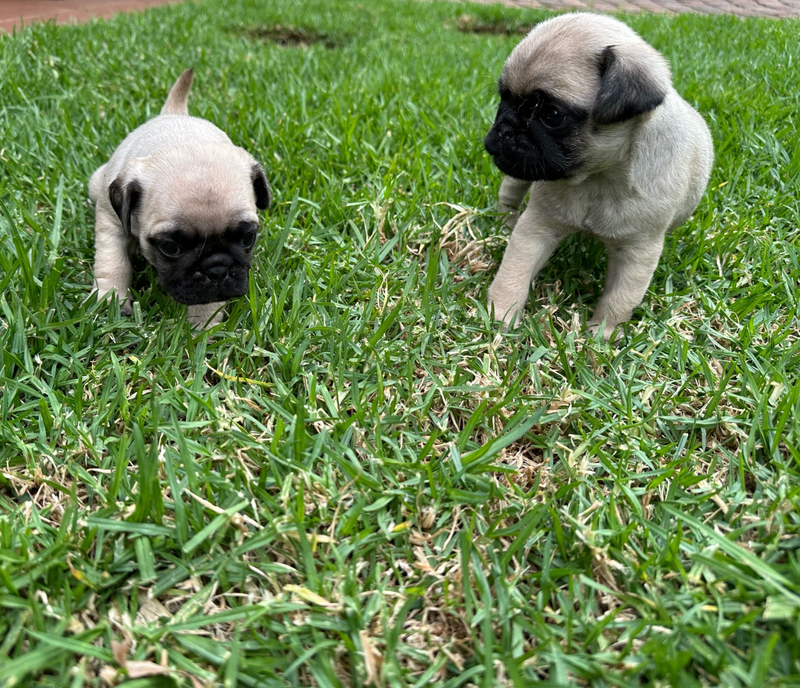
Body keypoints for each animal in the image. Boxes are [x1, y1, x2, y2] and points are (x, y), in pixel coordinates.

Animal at [86, 70, 270, 328]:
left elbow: (207, 302)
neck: (181, 141)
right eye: (170, 248)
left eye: (247, 238)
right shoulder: (111, 221)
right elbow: (112, 262)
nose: (217, 270)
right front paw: (110, 299)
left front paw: (203, 328)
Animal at [484, 13, 716, 342]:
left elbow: (619, 299)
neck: (597, 178)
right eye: (503, 99)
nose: (505, 127)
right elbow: (515, 269)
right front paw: (502, 313)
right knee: (510, 194)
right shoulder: (538, 226)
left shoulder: (637, 253)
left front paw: (601, 336)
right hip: (520, 175)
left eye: (552, 115)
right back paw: (503, 222)